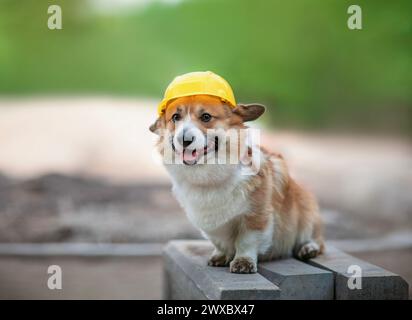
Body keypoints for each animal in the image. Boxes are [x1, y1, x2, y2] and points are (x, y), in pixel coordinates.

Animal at [150, 94, 324, 274]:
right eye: (175, 117)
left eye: (206, 117)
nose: (184, 140)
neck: (210, 175)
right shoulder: (210, 225)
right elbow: (219, 242)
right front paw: (221, 256)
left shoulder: (255, 216)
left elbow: (246, 241)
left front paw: (243, 262)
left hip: (307, 212)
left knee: (317, 240)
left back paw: (308, 248)